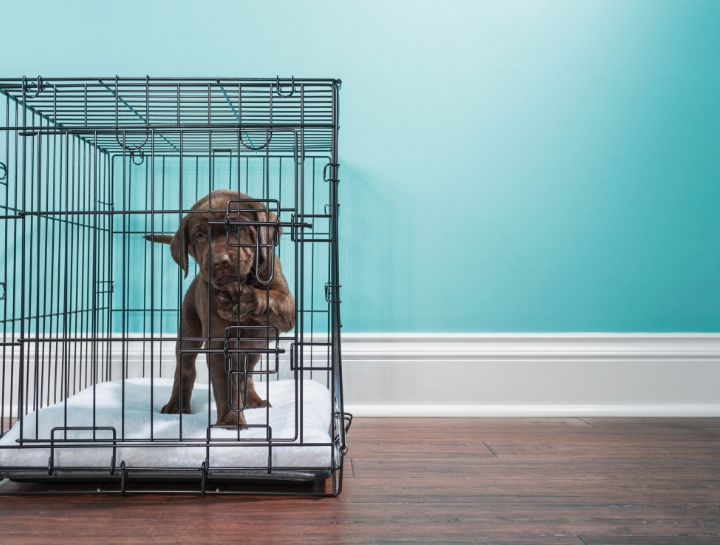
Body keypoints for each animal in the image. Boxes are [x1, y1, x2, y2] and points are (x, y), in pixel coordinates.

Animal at [146, 189, 296, 428]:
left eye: (237, 228)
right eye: (200, 236)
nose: (220, 261)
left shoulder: (285, 303)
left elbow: (271, 300)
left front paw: (242, 299)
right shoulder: (217, 344)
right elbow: (225, 388)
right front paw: (231, 422)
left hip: (256, 346)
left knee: (247, 374)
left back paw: (251, 399)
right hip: (189, 329)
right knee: (185, 369)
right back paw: (176, 405)